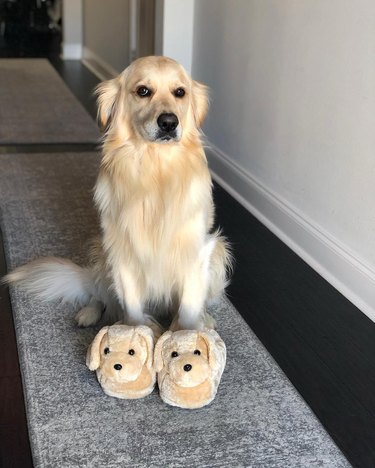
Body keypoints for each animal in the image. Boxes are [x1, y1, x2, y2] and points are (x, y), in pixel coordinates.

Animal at [5, 56, 232, 330]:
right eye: (143, 91)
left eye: (180, 92)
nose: (169, 122)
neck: (155, 169)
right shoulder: (123, 254)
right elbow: (131, 307)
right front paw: (133, 330)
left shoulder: (196, 252)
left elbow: (188, 309)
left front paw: (186, 331)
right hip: (102, 252)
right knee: (99, 295)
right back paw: (89, 313)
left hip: (218, 252)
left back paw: (205, 318)